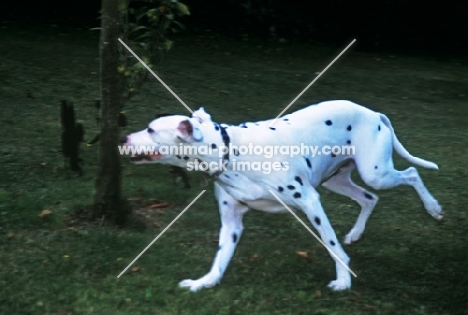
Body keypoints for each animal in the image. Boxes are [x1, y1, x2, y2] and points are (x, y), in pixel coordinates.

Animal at [121, 100, 442, 292]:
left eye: (151, 129)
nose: (123, 137)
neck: (231, 152)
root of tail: (373, 113)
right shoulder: (232, 222)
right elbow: (220, 258)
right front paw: (205, 283)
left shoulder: (311, 202)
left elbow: (332, 246)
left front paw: (342, 280)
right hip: (337, 181)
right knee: (369, 198)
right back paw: (356, 233)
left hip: (376, 172)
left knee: (412, 173)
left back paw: (433, 207)